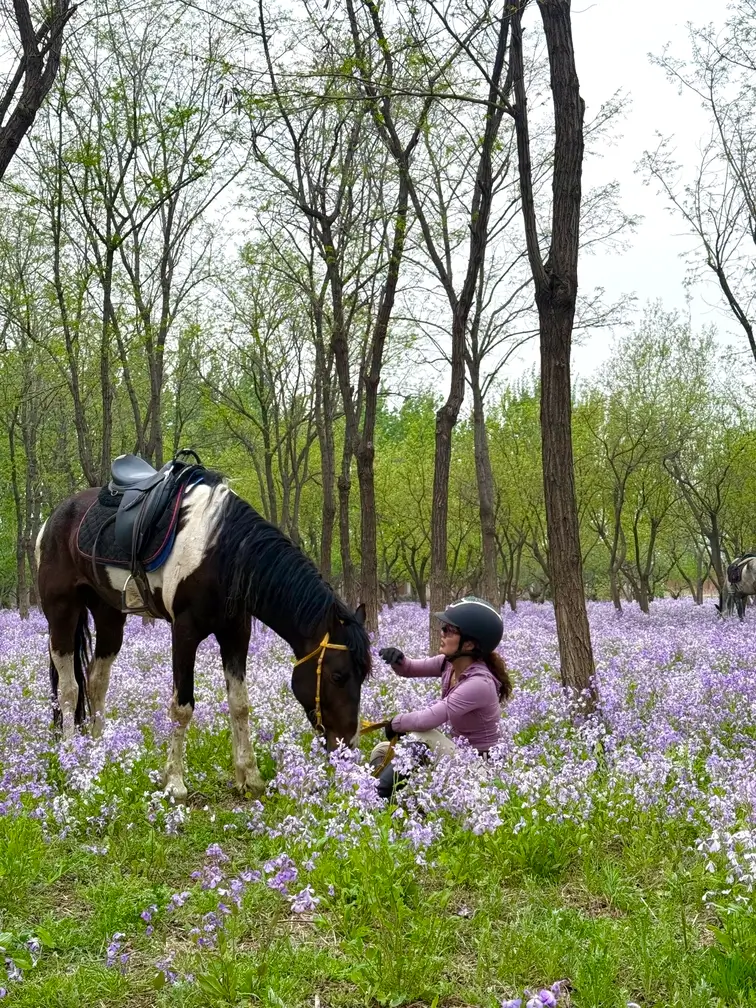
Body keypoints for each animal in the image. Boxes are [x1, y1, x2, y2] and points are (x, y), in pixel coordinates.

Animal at [35, 463, 371, 801]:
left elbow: (240, 704)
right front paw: (174, 782)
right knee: (68, 688)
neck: (222, 554)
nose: (349, 749)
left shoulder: (236, 632)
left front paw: (249, 777)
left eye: (363, 676)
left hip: (109, 616)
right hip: (62, 611)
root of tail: (54, 518)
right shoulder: (184, 632)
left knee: (96, 681)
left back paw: (97, 750)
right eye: (338, 676)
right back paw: (70, 755)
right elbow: (182, 707)